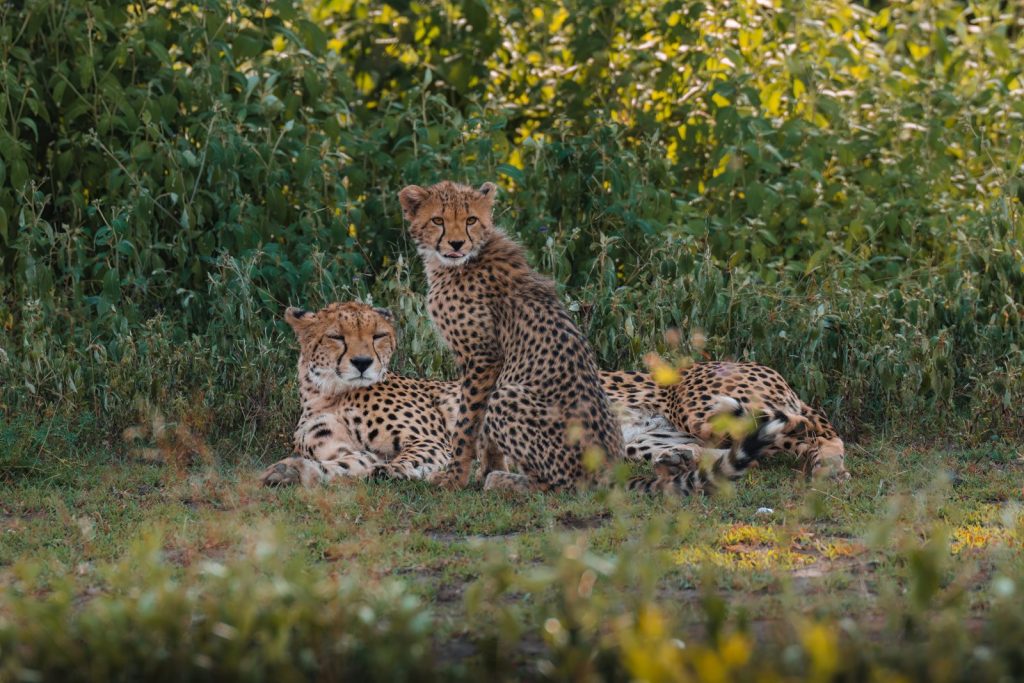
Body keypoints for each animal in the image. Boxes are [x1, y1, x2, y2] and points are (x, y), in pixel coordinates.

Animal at [398, 180, 791, 495]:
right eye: (438, 220)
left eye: (470, 220)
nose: (456, 243)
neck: (464, 260)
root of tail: (608, 469)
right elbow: (480, 431)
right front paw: (485, 468)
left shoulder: (482, 359)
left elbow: (467, 425)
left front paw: (456, 478)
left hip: (511, 398)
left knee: (562, 485)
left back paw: (506, 482)